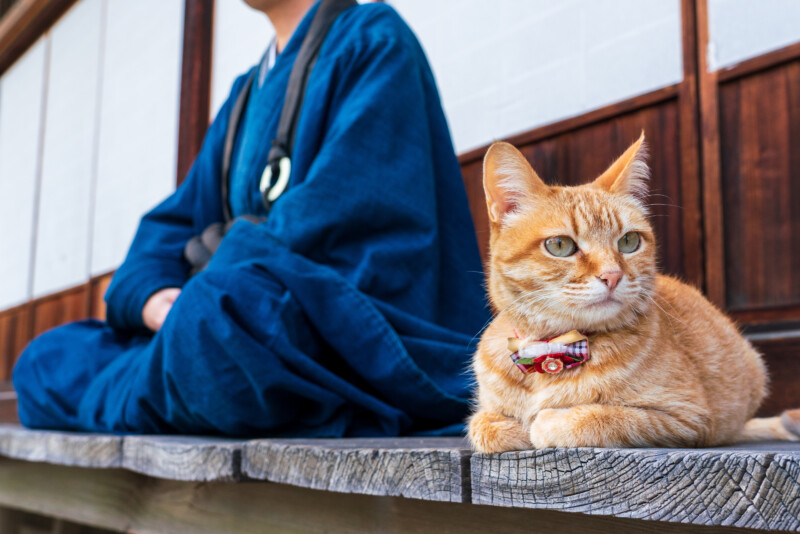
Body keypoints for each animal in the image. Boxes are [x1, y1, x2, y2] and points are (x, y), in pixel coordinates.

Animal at [468, 133, 800, 452]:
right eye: (560, 245)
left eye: (628, 241)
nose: (612, 276)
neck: (552, 349)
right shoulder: (485, 413)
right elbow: (482, 425)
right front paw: (513, 428)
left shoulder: (687, 419)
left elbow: (599, 417)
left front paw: (544, 422)